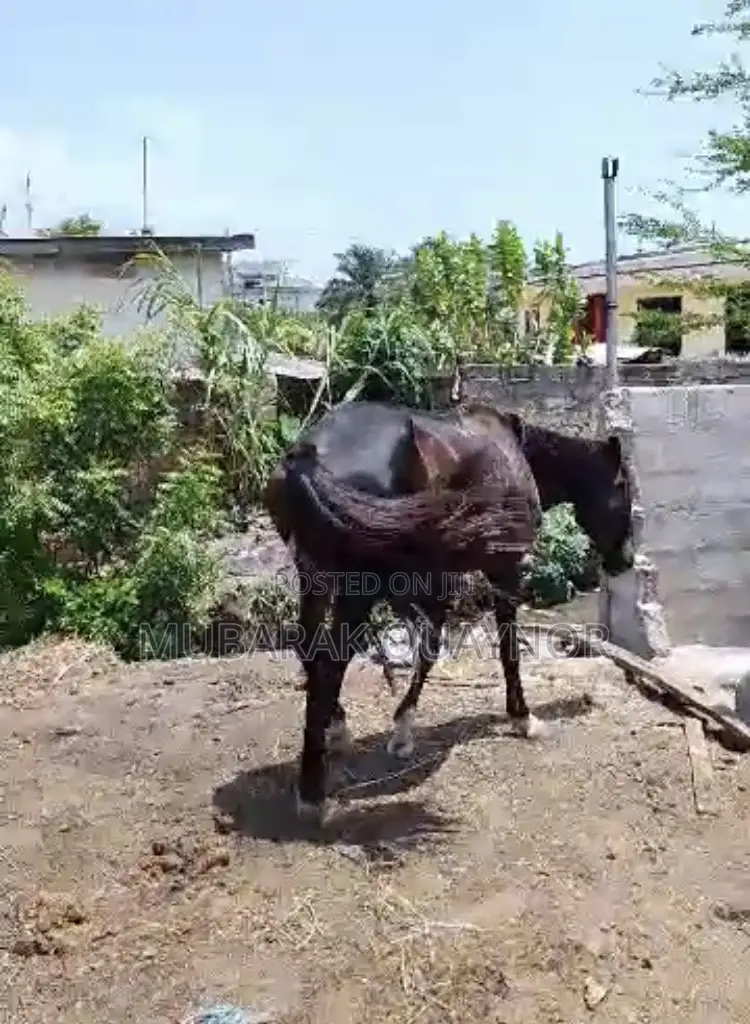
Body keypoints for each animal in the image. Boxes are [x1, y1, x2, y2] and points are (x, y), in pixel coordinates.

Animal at [264, 400, 634, 821]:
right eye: (622, 485)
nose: (626, 561)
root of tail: (307, 456)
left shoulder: (434, 582)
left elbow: (429, 648)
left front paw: (403, 731)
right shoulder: (504, 571)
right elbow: (506, 650)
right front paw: (522, 717)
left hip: (314, 580)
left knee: (307, 647)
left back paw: (336, 729)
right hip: (355, 593)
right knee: (329, 666)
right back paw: (312, 793)